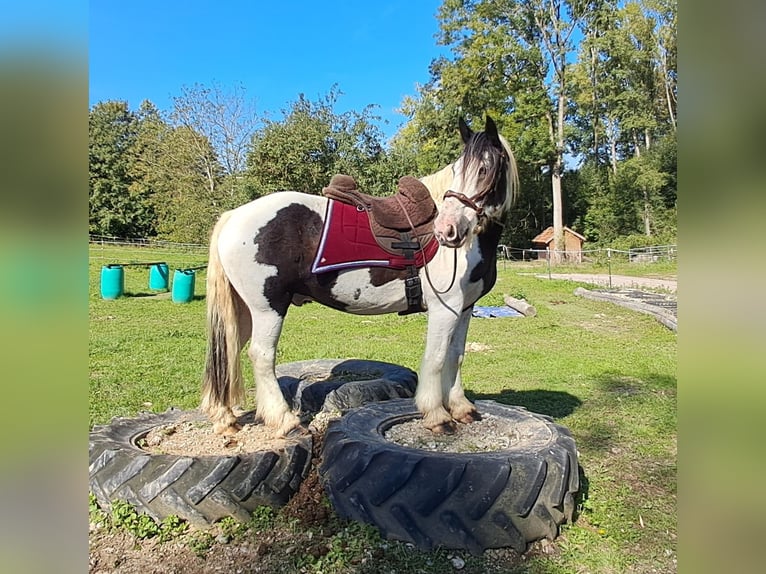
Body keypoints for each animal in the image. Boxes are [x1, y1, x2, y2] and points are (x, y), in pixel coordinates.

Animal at [201, 115, 520, 434]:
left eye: (485, 169)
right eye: (457, 169)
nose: (447, 231)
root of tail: (234, 215)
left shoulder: (464, 308)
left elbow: (457, 355)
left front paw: (462, 408)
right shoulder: (445, 309)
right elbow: (437, 358)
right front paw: (437, 415)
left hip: (245, 310)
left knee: (229, 349)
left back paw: (226, 418)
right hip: (269, 307)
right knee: (261, 356)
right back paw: (285, 420)